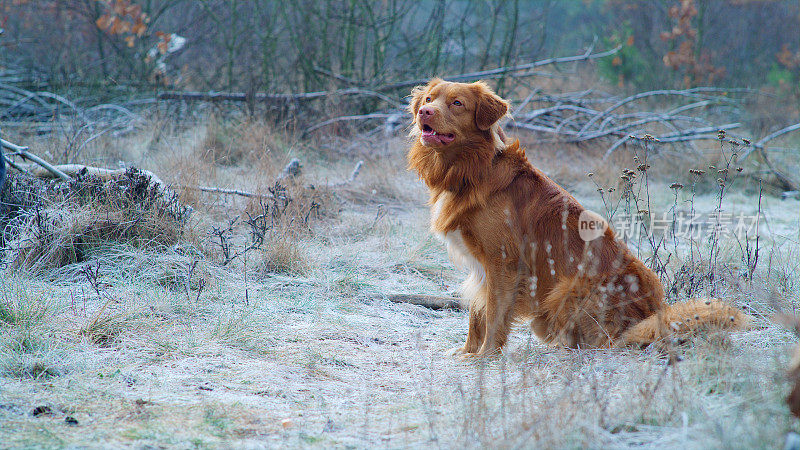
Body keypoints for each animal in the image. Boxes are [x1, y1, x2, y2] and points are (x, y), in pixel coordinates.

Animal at [410, 79, 752, 356]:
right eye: (429, 99)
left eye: (457, 103)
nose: (424, 112)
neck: (472, 169)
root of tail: (653, 312)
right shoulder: (481, 266)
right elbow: (477, 314)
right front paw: (468, 351)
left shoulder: (502, 262)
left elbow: (494, 314)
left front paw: (484, 356)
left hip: (567, 288)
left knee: (612, 342)